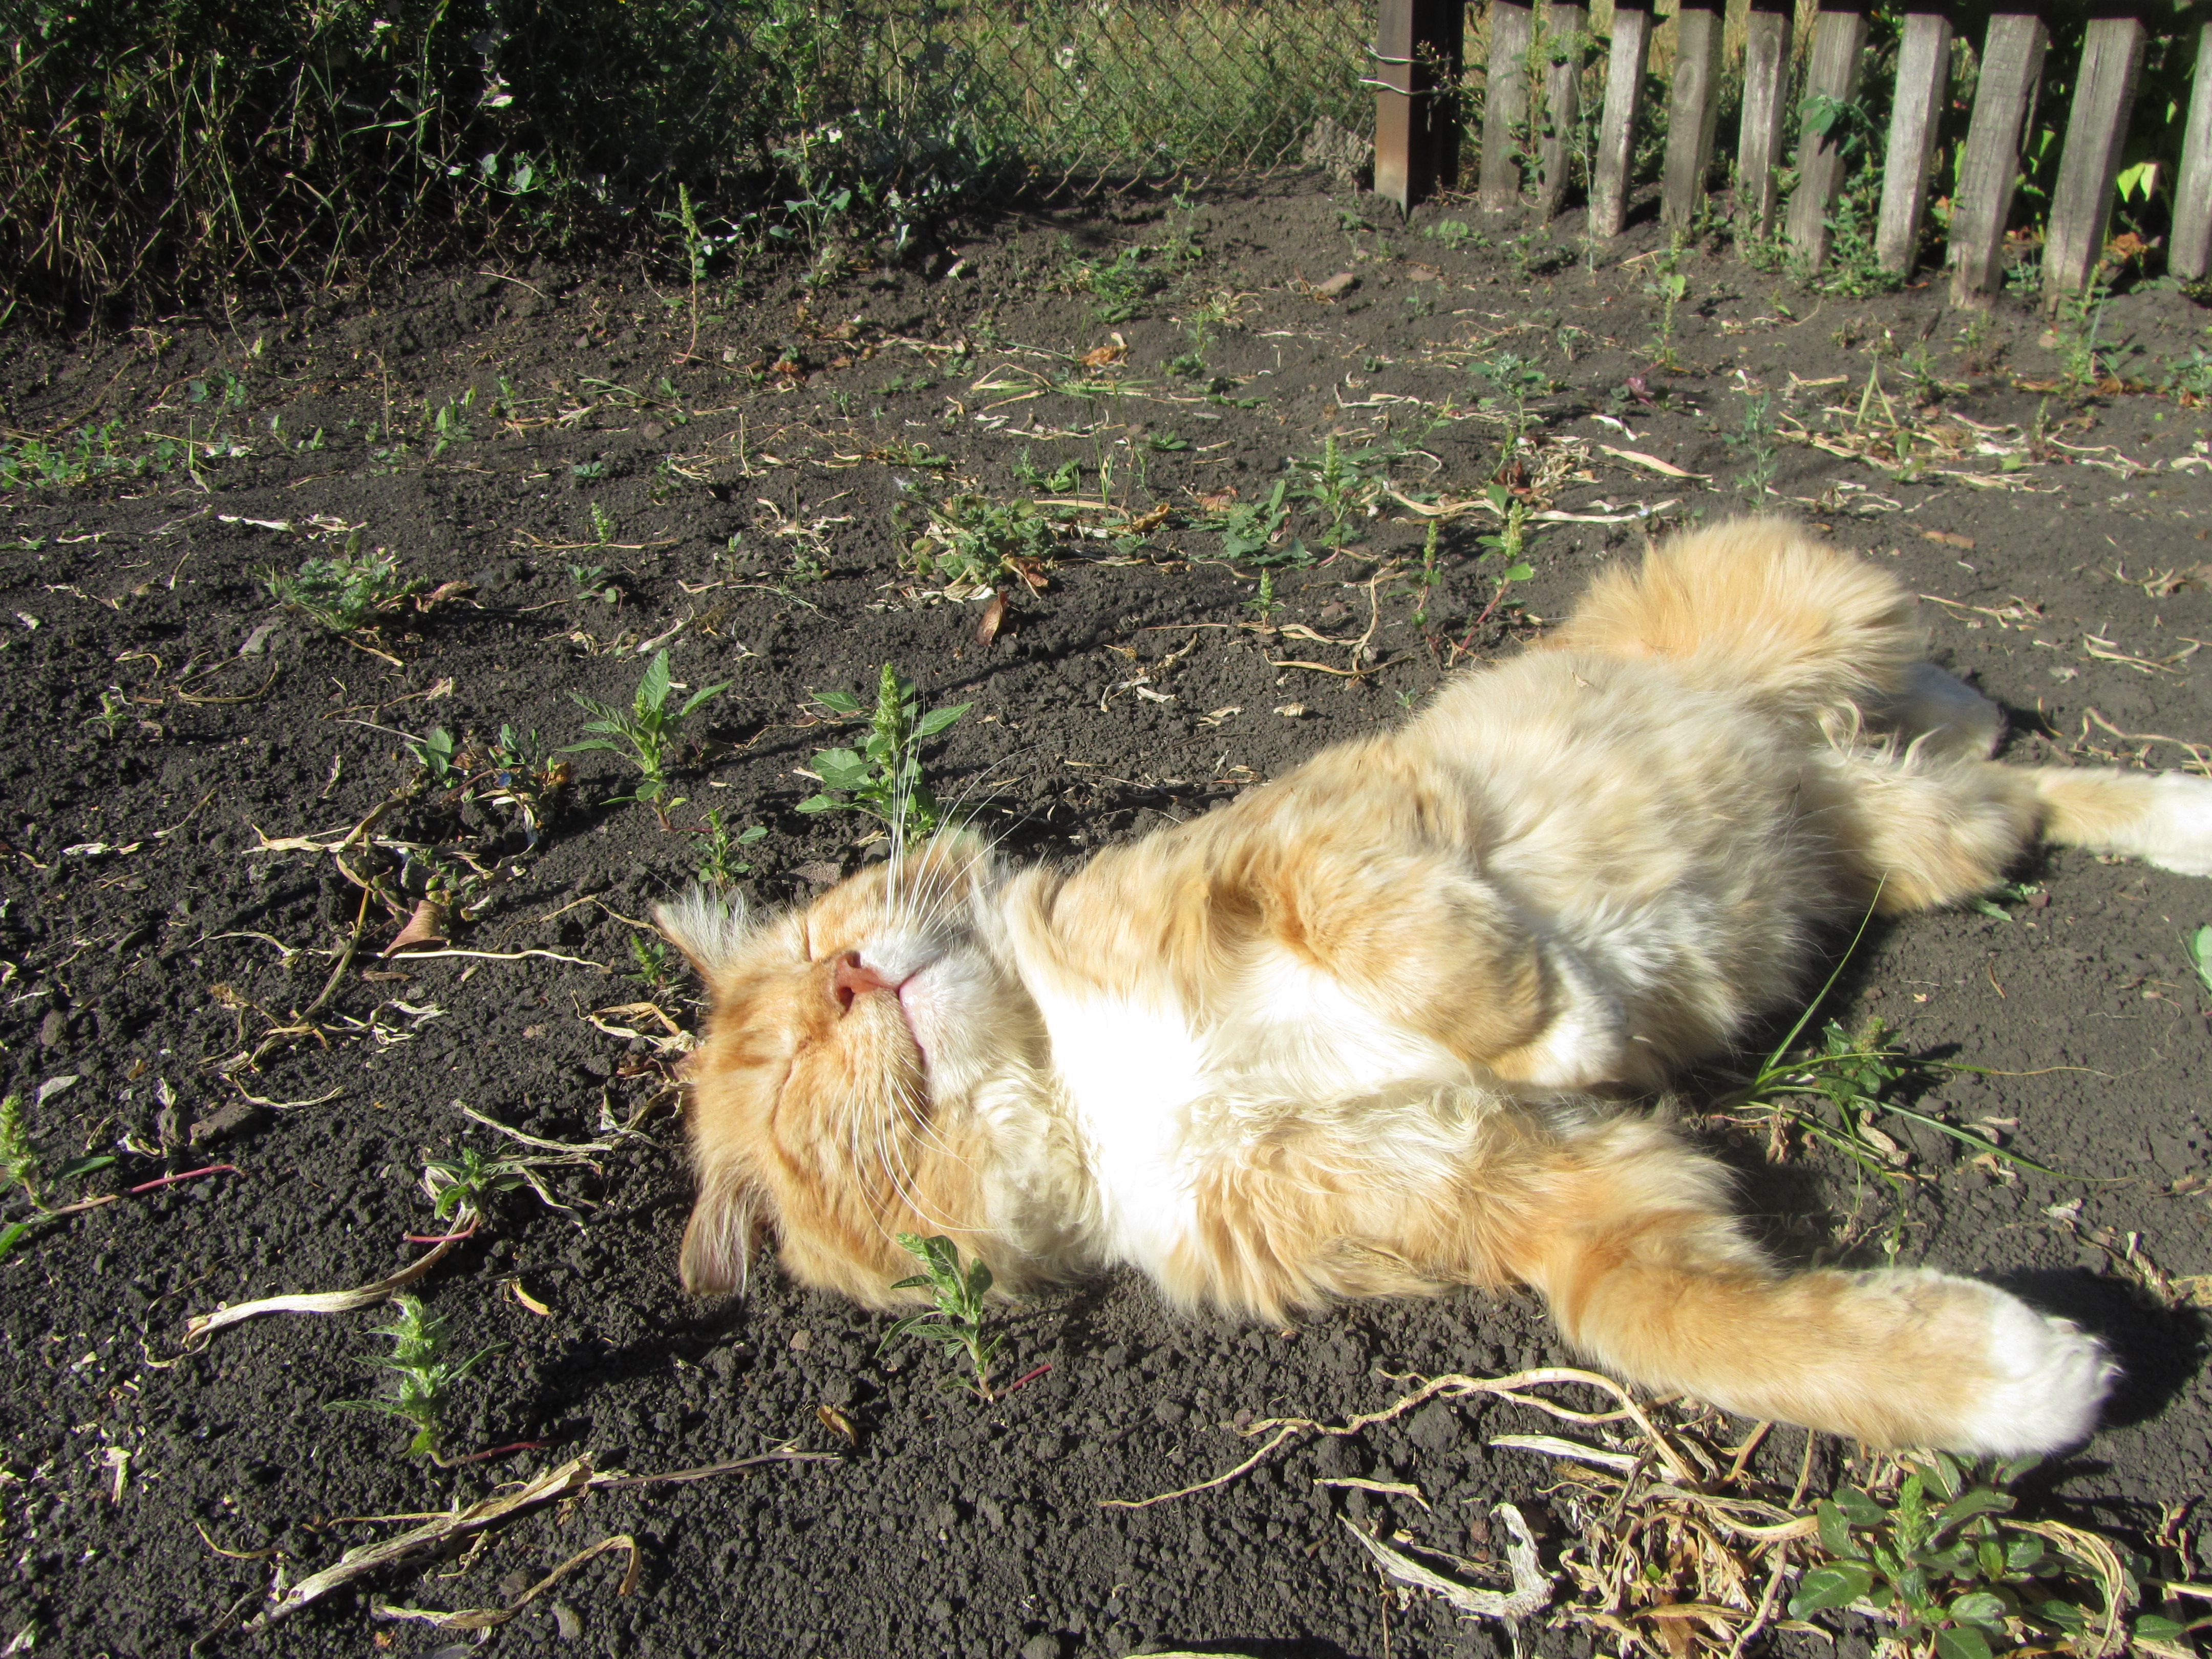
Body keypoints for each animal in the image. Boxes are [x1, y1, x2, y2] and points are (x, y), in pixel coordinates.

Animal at [654, 522, 2212, 1451]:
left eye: (810, 955)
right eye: (788, 1073)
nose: (849, 978)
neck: (1092, 1082)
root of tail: (1815, 756)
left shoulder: (1307, 842)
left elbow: (1407, 937)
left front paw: (1570, 1014)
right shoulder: (1555, 1196)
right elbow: (1701, 1330)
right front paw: (2016, 1378)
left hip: (1816, 623)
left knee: (1929, 669)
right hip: (1926, 842)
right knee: (2017, 789)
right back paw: (2176, 815)